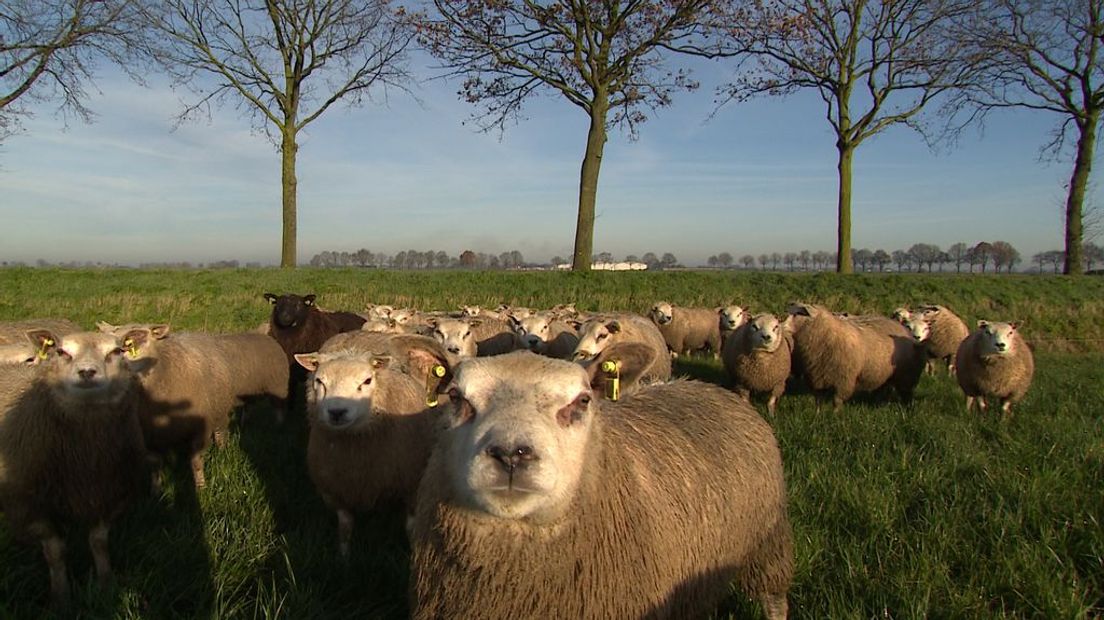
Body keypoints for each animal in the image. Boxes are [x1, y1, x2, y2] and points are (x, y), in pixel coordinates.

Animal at [0, 328, 149, 604]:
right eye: (61, 352)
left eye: (117, 351)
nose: (87, 372)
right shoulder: (31, 506)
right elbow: (55, 552)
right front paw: (62, 597)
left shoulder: (107, 493)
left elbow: (99, 543)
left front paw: (106, 584)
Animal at [293, 333, 452, 556]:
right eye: (319, 381)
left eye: (367, 380)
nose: (337, 412)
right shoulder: (336, 492)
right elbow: (345, 528)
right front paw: (343, 558)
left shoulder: (413, 486)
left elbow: (411, 528)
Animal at [410, 350, 790, 613]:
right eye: (456, 397)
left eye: (582, 401)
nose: (511, 455)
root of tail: (706, 386)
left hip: (768, 542)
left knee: (774, 598)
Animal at [790, 300, 927, 408]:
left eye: (800, 313)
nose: (784, 326)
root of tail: (903, 329)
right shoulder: (817, 376)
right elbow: (818, 400)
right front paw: (818, 415)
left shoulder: (844, 379)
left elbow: (837, 401)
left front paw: (835, 416)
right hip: (883, 373)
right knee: (882, 390)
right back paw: (877, 404)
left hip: (907, 375)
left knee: (906, 393)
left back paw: (907, 408)